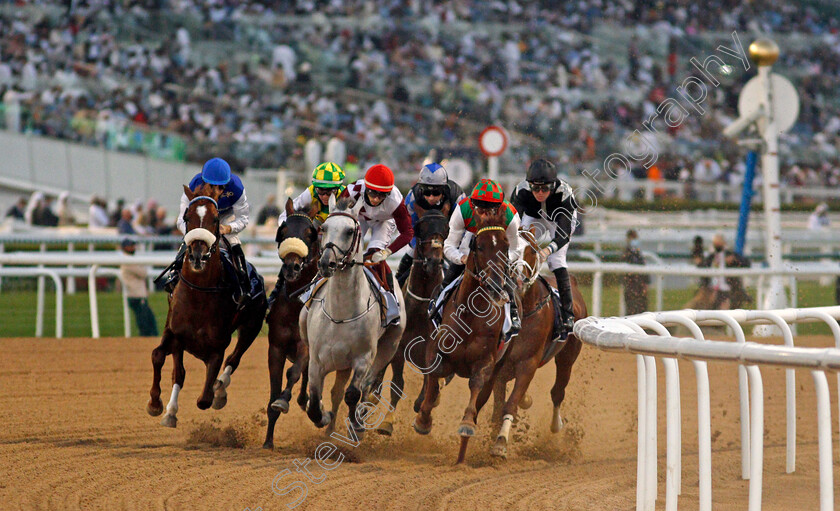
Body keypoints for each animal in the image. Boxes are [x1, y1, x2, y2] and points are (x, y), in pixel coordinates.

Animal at [146, 184, 268, 428]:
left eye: (216, 219)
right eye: (186, 217)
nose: (197, 256)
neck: (199, 294)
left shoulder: (217, 347)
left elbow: (204, 399)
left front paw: (216, 393)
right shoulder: (174, 333)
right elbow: (160, 357)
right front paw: (157, 405)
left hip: (252, 326)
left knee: (234, 359)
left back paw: (220, 390)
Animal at [412, 205, 516, 464]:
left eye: (506, 246)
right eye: (479, 246)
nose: (496, 287)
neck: (470, 314)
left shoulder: (486, 361)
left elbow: (476, 387)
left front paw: (467, 424)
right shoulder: (436, 351)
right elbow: (432, 386)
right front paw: (423, 420)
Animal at [488, 230, 588, 458]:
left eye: (532, 251)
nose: (518, 279)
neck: (524, 310)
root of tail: (574, 283)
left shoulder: (528, 362)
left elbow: (510, 404)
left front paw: (500, 443)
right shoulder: (500, 365)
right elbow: (499, 406)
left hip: (567, 357)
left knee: (557, 392)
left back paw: (556, 425)